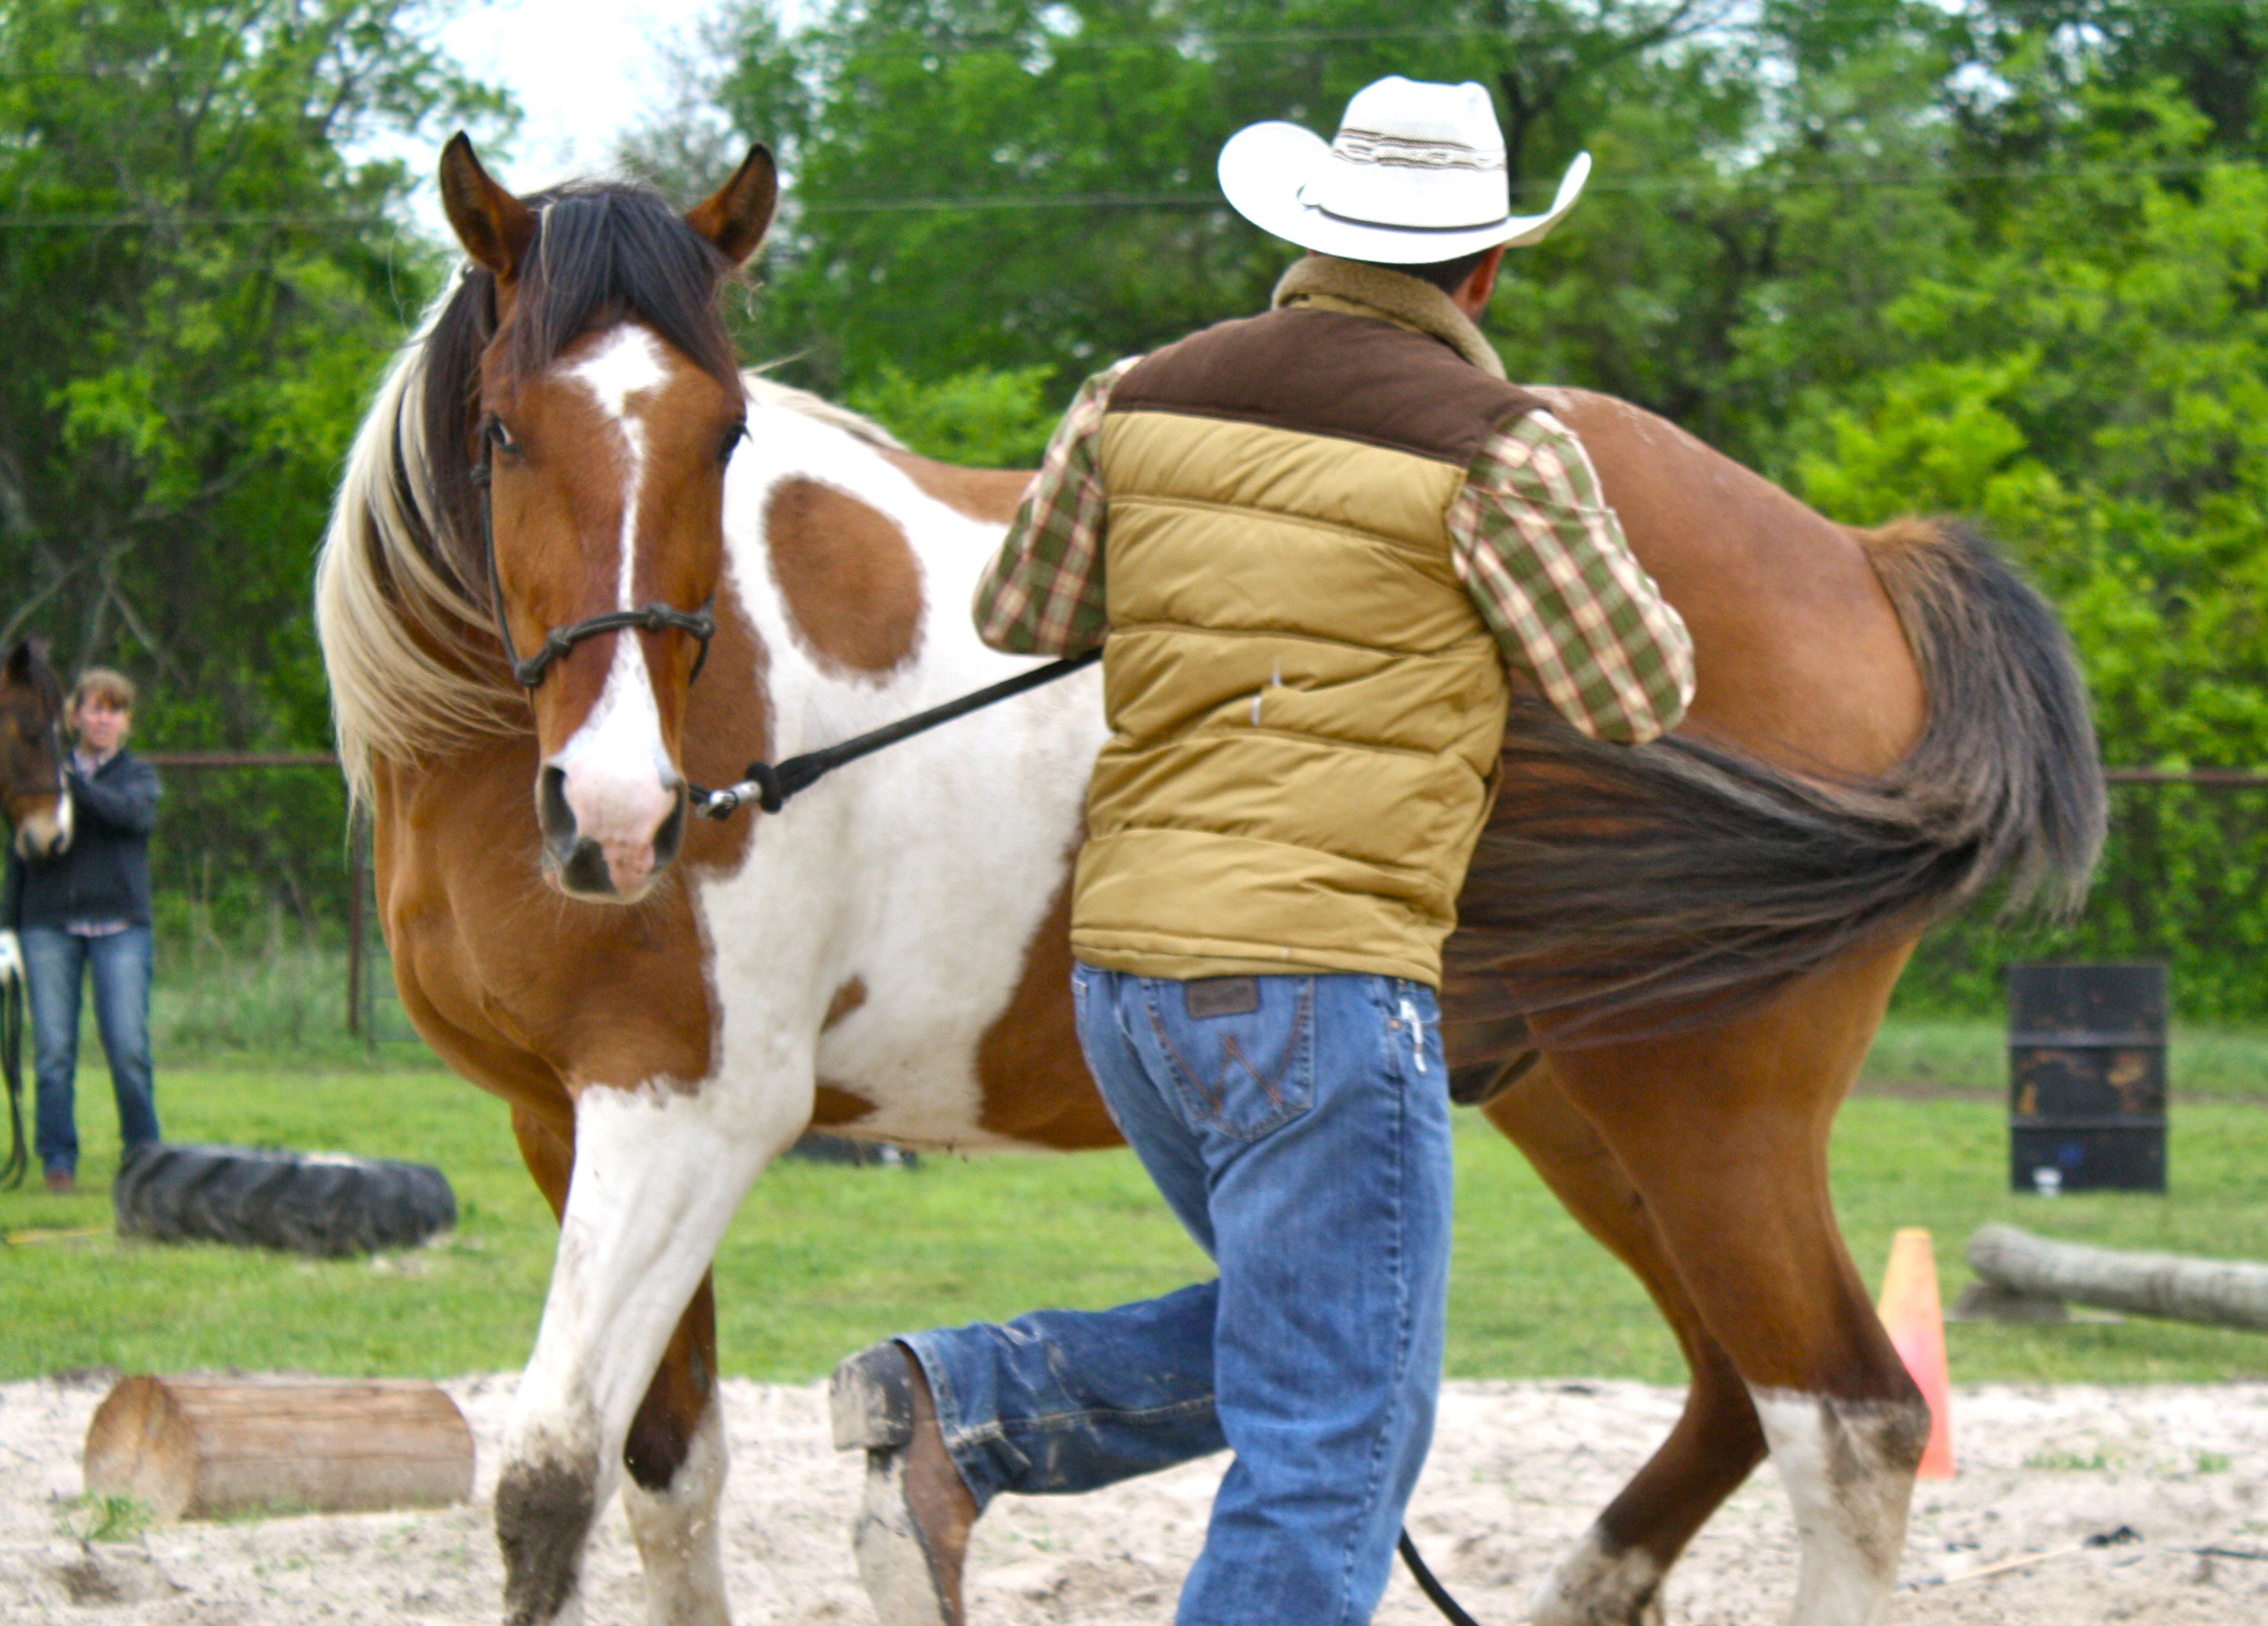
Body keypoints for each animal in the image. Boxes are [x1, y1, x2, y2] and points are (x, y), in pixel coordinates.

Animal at [310, 139, 2095, 1624]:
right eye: (504, 434)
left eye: (725, 431)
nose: (618, 814)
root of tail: (1854, 557)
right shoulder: (568, 1120)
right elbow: (666, 1477)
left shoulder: (689, 1108)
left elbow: (548, 1479)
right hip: (1578, 1106)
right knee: (1731, 1388)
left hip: (1707, 1114)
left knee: (1849, 1420)